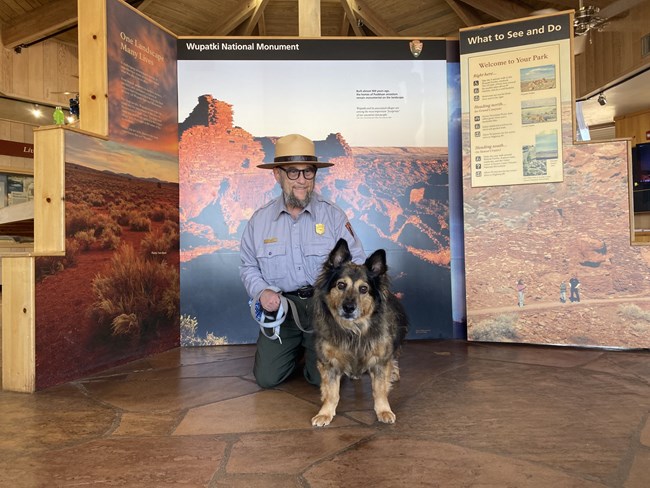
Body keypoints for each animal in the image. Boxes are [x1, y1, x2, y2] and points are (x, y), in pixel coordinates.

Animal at [308, 237, 404, 428]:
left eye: (364, 289)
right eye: (341, 285)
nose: (349, 308)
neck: (354, 330)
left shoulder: (380, 360)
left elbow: (379, 389)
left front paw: (384, 410)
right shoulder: (329, 363)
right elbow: (331, 392)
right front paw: (325, 413)